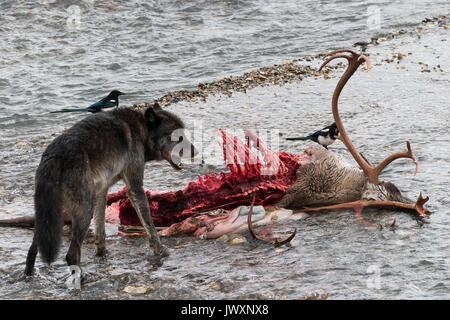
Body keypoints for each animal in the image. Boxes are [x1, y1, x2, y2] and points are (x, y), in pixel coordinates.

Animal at [24, 104, 193, 276]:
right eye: (179, 137)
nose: (195, 152)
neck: (141, 131)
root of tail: (55, 157)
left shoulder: (101, 191)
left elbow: (100, 231)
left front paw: (102, 255)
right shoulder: (134, 188)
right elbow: (150, 226)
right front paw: (161, 251)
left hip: (47, 216)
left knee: (32, 250)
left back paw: (28, 275)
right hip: (84, 212)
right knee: (71, 254)